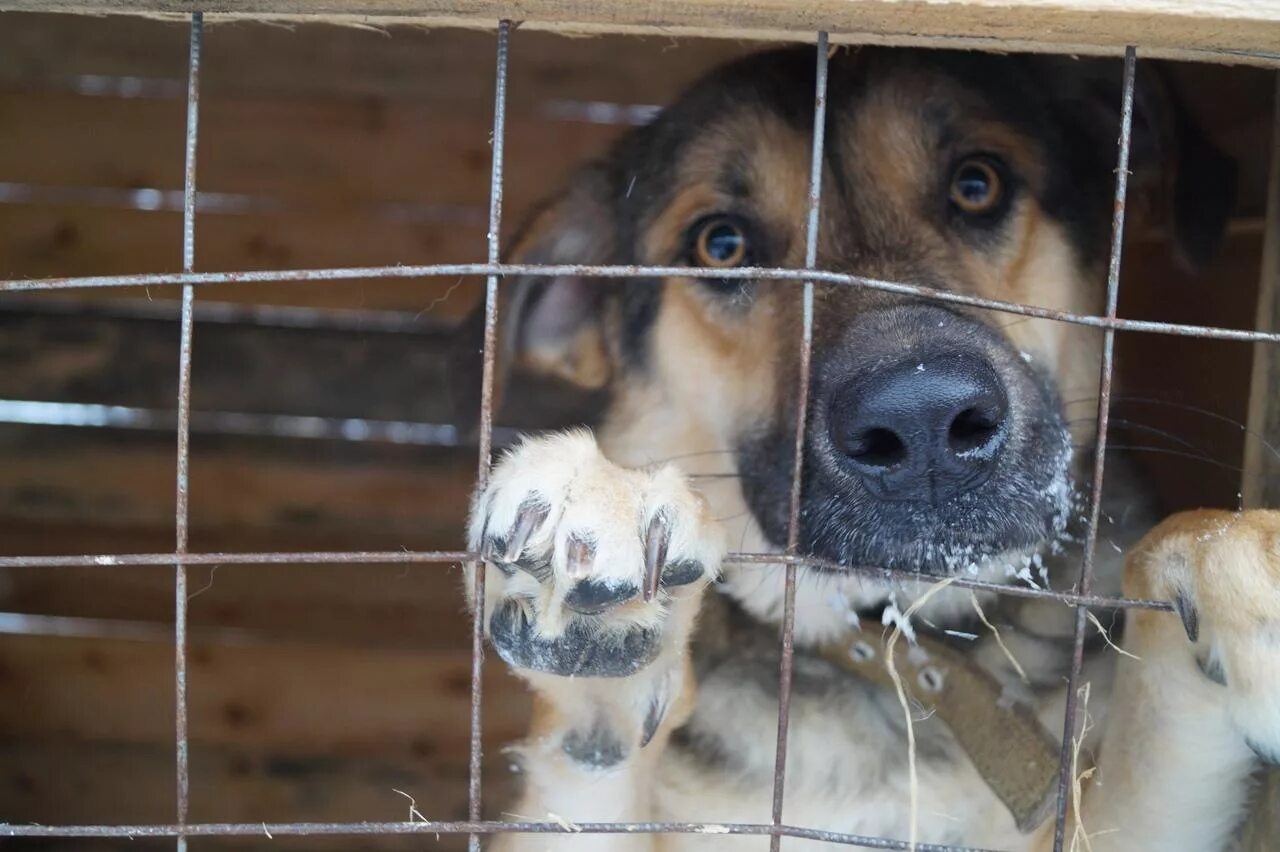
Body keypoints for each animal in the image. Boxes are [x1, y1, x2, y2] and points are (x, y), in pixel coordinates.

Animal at [460, 47, 1280, 849]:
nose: (923, 422)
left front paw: (1231, 557)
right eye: (721, 245)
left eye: (977, 184)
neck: (904, 650)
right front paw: (599, 534)